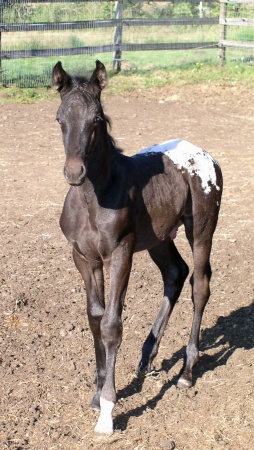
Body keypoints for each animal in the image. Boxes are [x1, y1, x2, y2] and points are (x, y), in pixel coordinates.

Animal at [53, 60, 222, 436]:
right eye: (59, 118)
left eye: (97, 120)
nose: (73, 172)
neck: (94, 198)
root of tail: (205, 155)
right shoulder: (84, 259)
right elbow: (95, 319)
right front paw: (96, 394)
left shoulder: (120, 254)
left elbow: (112, 325)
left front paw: (107, 411)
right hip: (159, 238)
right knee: (175, 274)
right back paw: (147, 356)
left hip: (201, 230)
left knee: (199, 285)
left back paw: (187, 372)